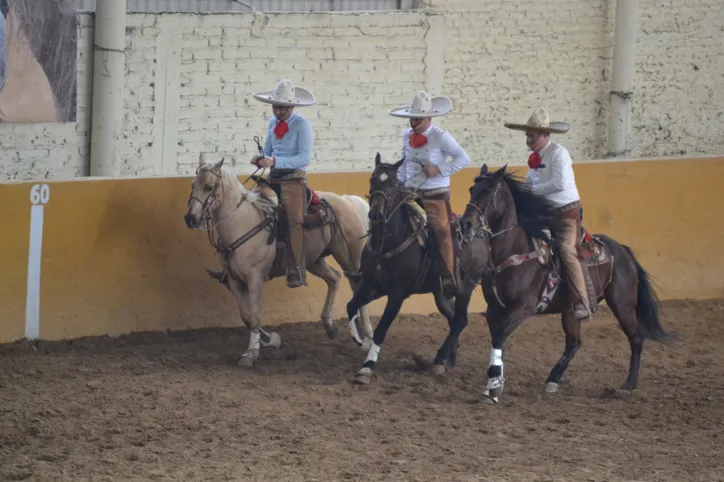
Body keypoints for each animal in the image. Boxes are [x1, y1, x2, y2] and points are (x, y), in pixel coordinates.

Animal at [184, 154, 374, 366]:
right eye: (193, 184)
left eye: (209, 187)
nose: (190, 218)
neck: (242, 222)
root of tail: (346, 200)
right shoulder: (235, 281)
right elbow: (246, 316)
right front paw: (270, 340)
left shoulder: (256, 278)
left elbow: (255, 316)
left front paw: (251, 354)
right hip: (313, 261)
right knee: (334, 278)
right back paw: (330, 326)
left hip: (350, 257)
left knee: (357, 286)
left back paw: (366, 337)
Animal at [344, 154, 464, 384]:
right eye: (373, 179)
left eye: (392, 183)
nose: (376, 215)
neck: (387, 244)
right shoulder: (372, 285)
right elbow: (350, 306)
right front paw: (361, 342)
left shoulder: (397, 295)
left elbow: (381, 330)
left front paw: (367, 367)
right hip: (441, 294)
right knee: (455, 319)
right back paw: (449, 358)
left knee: (460, 321)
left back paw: (441, 361)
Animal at [438, 166, 676, 402]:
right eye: (472, 190)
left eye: (488, 191)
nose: (465, 224)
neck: (514, 253)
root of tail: (622, 250)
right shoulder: (494, 310)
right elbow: (499, 340)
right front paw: (495, 384)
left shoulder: (523, 307)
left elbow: (499, 336)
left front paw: (493, 389)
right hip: (571, 312)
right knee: (574, 343)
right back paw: (552, 379)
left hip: (622, 304)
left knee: (636, 338)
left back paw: (628, 385)